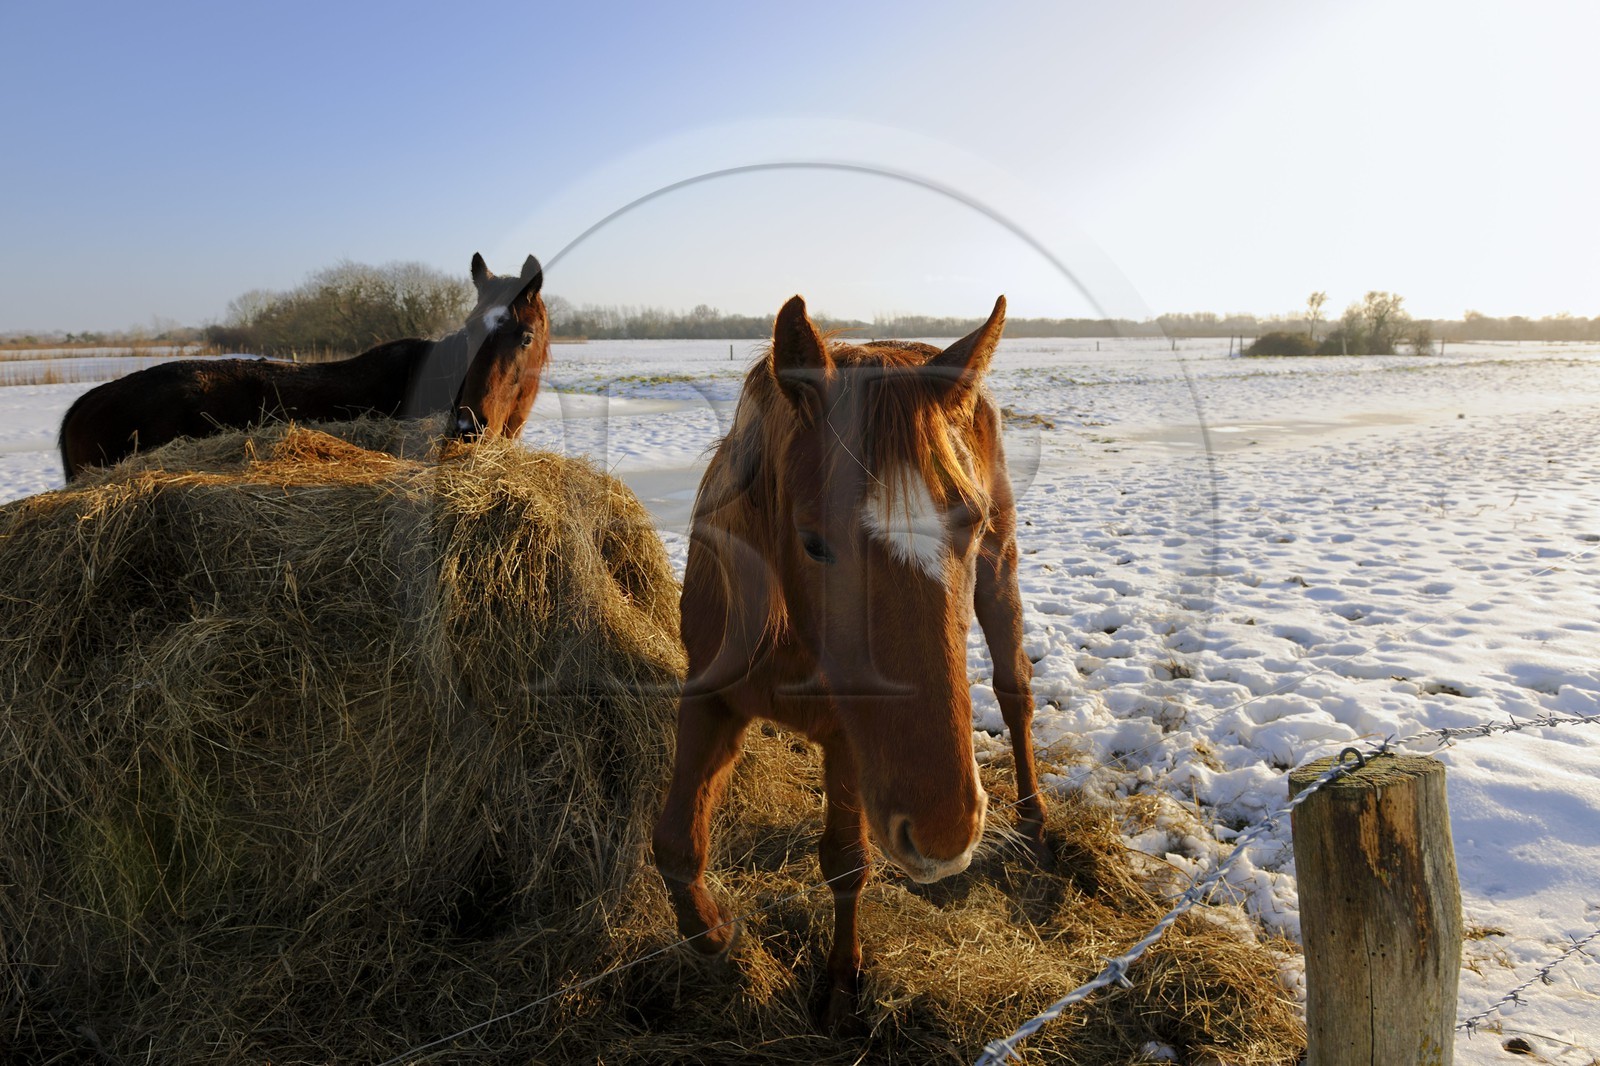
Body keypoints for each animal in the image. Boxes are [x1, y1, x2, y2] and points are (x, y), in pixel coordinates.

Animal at [652, 294, 1049, 1028]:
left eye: (971, 523)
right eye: (813, 541)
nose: (947, 830)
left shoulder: (844, 736)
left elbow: (845, 861)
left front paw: (840, 978)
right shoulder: (709, 698)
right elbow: (675, 845)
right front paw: (716, 937)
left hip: (1000, 577)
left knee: (1016, 692)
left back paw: (1035, 814)